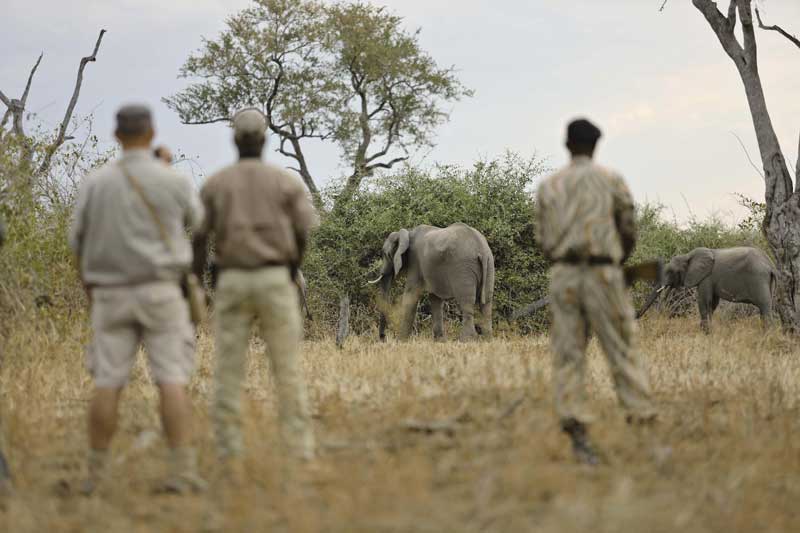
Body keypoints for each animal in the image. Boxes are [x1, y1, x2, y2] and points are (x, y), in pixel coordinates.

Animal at [636, 246, 776, 332]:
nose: (636, 316)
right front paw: (709, 331)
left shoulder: (706, 277)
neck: (687, 256)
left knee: (765, 308)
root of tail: (771, 265)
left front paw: (705, 333)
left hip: (759, 278)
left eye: (670, 272)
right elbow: (712, 304)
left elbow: (704, 302)